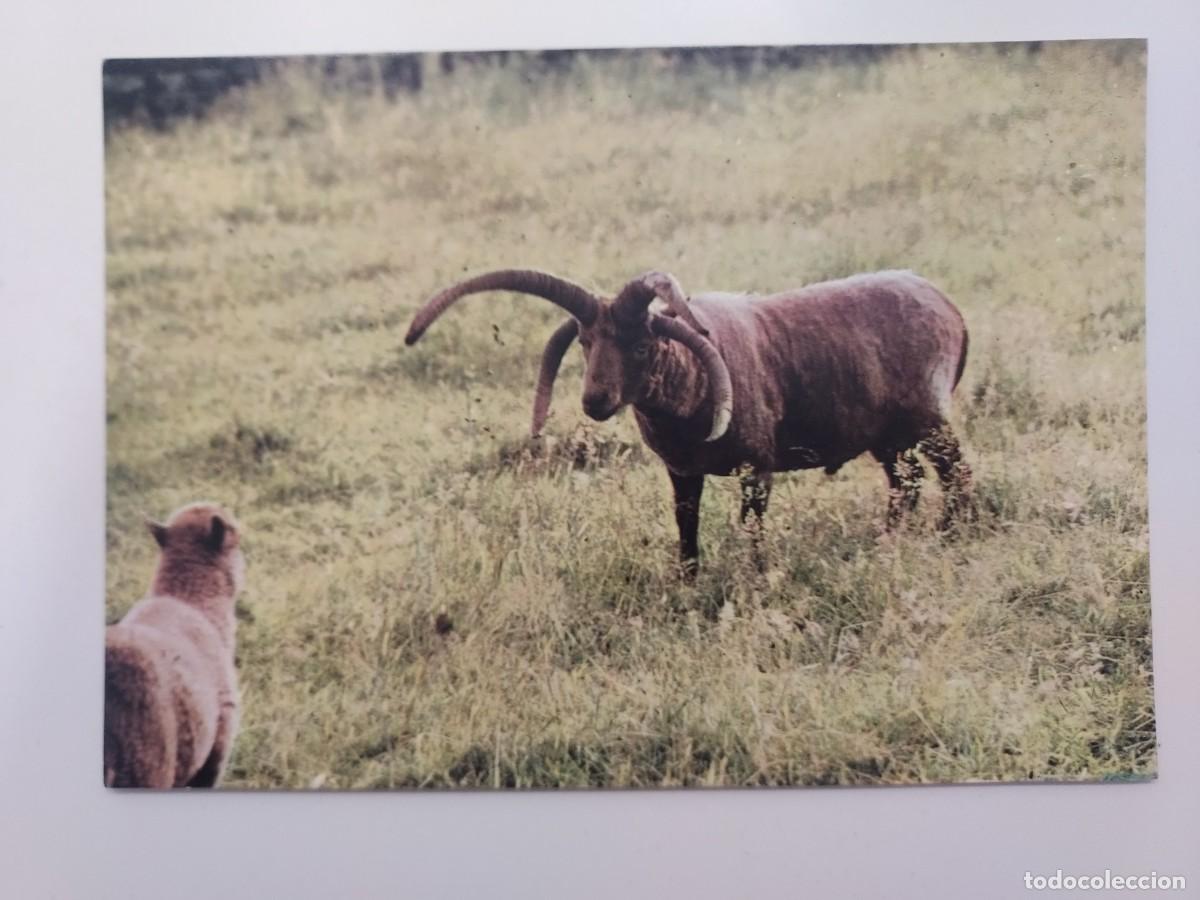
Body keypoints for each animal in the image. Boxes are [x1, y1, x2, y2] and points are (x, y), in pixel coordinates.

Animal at [405, 268, 972, 573]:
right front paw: (688, 579)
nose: (596, 401)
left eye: (639, 344)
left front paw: (756, 576)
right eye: (586, 342)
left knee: (956, 473)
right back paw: (888, 542)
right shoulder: (681, 471)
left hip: (929, 418)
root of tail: (949, 306)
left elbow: (752, 527)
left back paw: (953, 534)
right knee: (906, 485)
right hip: (890, 437)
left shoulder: (756, 467)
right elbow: (686, 524)